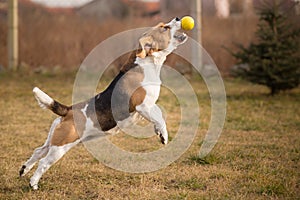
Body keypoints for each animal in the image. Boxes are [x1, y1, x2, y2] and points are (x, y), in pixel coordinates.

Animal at [19, 16, 188, 189]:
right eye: (164, 27)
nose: (178, 18)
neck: (147, 62)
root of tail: (68, 110)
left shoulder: (148, 107)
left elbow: (158, 115)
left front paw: (159, 132)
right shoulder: (143, 105)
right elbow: (160, 118)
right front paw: (164, 135)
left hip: (53, 141)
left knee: (38, 151)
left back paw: (24, 169)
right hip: (60, 147)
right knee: (43, 162)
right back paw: (33, 183)